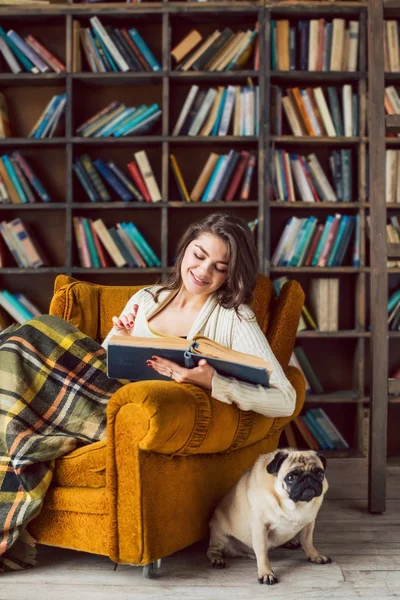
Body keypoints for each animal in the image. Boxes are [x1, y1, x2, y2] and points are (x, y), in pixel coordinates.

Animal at [208, 448, 330, 584]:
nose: (308, 478)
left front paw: (314, 556)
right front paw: (266, 573)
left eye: (320, 474)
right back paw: (217, 559)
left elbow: (307, 542)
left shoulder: (309, 523)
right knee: (212, 550)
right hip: (220, 536)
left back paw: (290, 542)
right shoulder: (260, 527)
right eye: (290, 477)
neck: (295, 505)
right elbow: (262, 554)